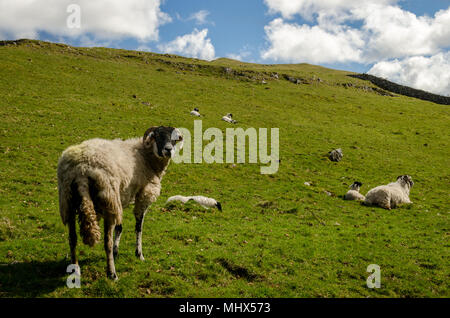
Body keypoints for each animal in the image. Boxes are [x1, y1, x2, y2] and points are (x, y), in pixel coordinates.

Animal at [57, 125, 184, 280]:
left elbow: (120, 227)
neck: (146, 156)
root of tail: (81, 169)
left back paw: (75, 269)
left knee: (72, 239)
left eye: (174, 139)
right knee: (107, 242)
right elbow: (139, 227)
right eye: (158, 136)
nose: (168, 150)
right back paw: (112, 273)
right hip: (109, 200)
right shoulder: (143, 194)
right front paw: (139, 254)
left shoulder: (122, 195)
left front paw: (117, 251)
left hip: (67, 201)